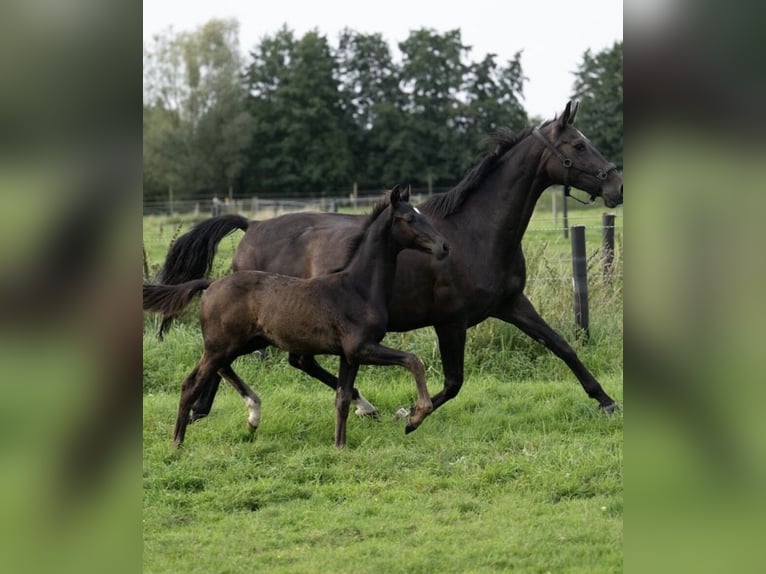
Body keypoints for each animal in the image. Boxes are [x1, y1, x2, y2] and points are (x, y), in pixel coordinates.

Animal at [144, 187, 450, 448]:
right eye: (409, 218)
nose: (444, 247)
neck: (358, 288)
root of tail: (211, 284)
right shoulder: (361, 348)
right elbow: (413, 361)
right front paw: (414, 418)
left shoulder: (350, 355)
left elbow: (342, 398)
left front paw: (340, 446)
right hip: (223, 345)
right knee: (191, 383)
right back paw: (177, 442)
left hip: (245, 343)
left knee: (220, 369)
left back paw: (252, 413)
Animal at [156, 100, 624, 424]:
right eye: (578, 144)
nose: (616, 185)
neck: (474, 232)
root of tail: (251, 225)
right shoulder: (450, 321)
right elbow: (453, 383)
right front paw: (409, 414)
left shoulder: (511, 304)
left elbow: (561, 345)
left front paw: (606, 401)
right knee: (255, 360)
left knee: (274, 361)